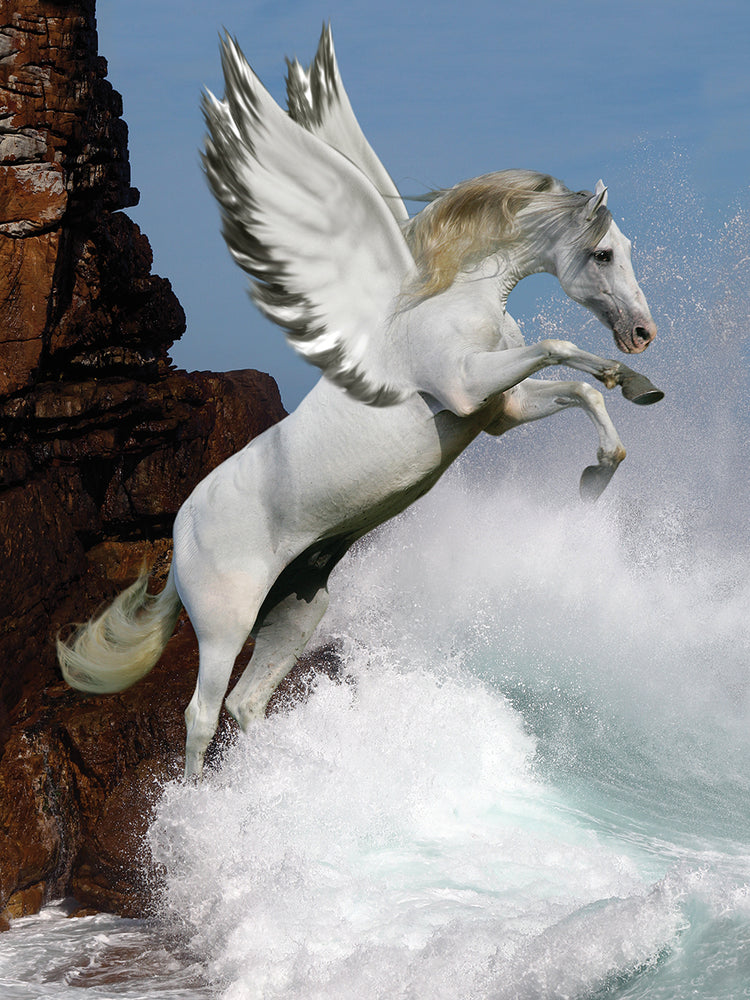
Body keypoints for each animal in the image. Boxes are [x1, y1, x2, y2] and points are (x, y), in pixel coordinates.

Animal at [58, 27, 661, 779]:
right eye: (604, 254)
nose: (643, 333)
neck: (453, 297)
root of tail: (178, 534)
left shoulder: (497, 414)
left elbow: (579, 386)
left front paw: (605, 454)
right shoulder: (465, 387)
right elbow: (561, 347)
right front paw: (622, 389)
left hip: (294, 612)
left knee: (247, 703)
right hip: (225, 624)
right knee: (200, 715)